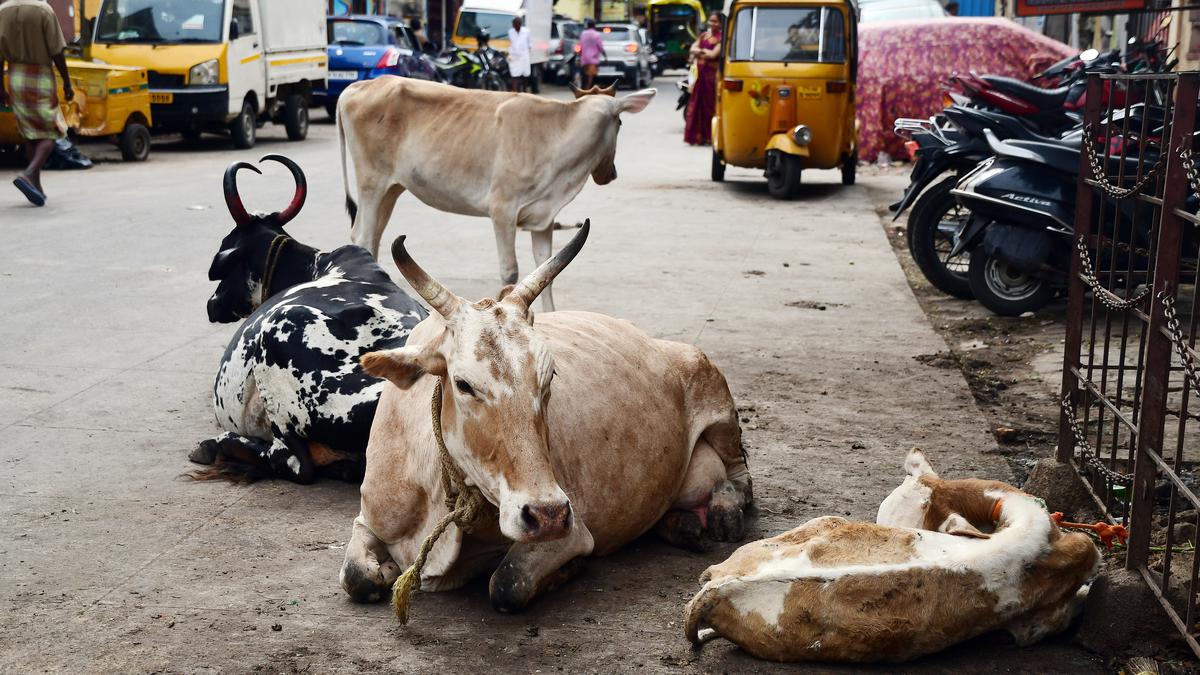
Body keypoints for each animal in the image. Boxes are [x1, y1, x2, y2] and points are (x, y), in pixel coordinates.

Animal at [338, 75, 657, 309]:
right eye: (620, 122)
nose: (610, 174)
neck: (558, 133)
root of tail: (361, 85)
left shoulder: (543, 217)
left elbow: (546, 268)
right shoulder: (502, 210)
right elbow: (510, 270)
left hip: (393, 187)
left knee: (373, 237)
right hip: (371, 182)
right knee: (363, 236)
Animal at [338, 223, 748, 612]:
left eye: (549, 376)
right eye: (464, 383)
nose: (547, 513)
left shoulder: (573, 532)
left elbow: (507, 583)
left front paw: (568, 570)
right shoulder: (368, 518)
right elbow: (356, 577)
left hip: (714, 391)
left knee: (737, 475)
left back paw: (725, 512)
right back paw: (683, 526)